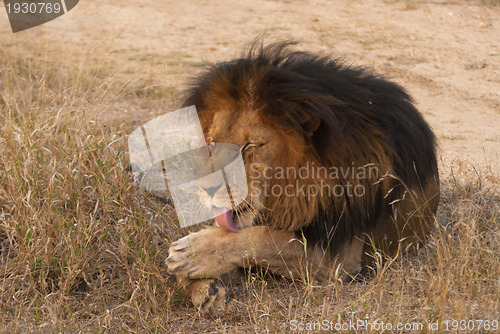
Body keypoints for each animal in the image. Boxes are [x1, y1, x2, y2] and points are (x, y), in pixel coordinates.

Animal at [166, 41, 440, 316]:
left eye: (249, 145)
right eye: (212, 142)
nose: (207, 190)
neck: (298, 188)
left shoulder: (340, 259)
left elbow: (265, 239)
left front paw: (191, 254)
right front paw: (203, 288)